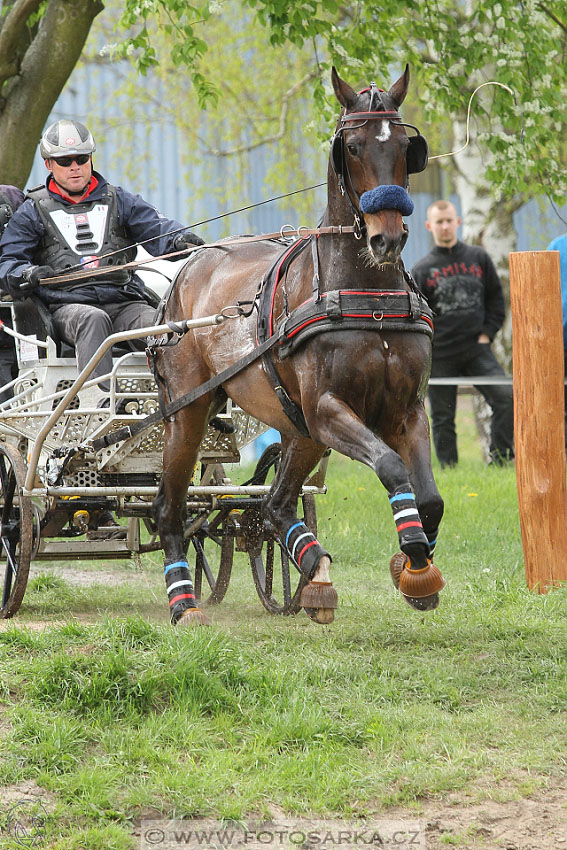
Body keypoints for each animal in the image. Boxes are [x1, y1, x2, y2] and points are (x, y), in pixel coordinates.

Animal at [153, 64, 446, 624]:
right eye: (351, 147)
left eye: (405, 146)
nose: (387, 238)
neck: (369, 299)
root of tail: (186, 271)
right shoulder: (329, 408)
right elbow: (392, 467)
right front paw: (414, 558)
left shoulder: (406, 410)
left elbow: (431, 500)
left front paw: (415, 568)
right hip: (190, 413)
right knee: (170, 507)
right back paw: (184, 601)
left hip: (299, 429)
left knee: (274, 505)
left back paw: (313, 571)